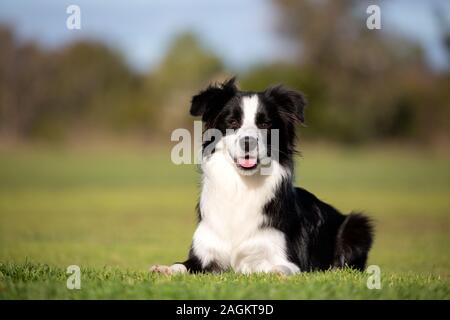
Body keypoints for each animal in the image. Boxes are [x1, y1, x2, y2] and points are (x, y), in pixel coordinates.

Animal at [149, 77, 374, 276]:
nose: (248, 142)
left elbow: (275, 267)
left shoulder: (284, 257)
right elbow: (181, 265)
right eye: (232, 121)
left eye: (265, 124)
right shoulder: (205, 253)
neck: (242, 187)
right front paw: (164, 269)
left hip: (358, 224)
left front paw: (275, 272)